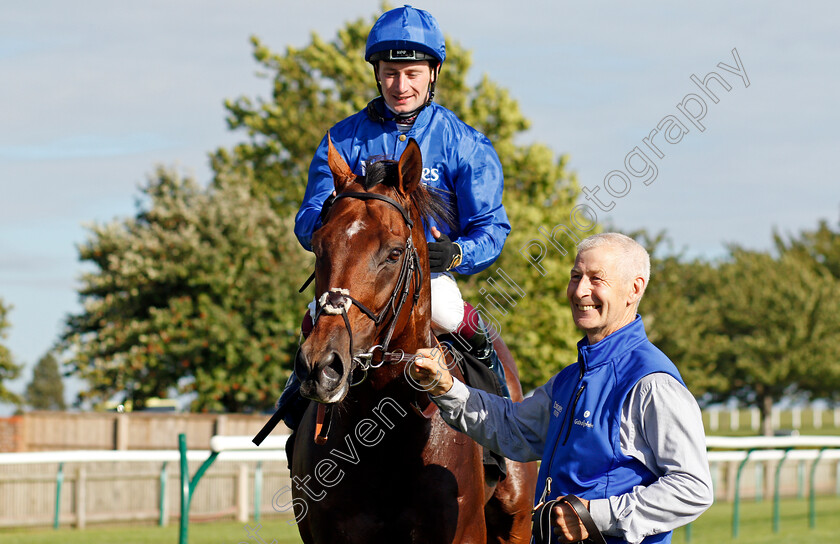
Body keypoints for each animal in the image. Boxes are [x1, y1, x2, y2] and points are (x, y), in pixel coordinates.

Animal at [292, 134, 536, 540]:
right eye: (319, 243)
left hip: (515, 520)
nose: (320, 365)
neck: (385, 434)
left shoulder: (465, 531)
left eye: (393, 253)